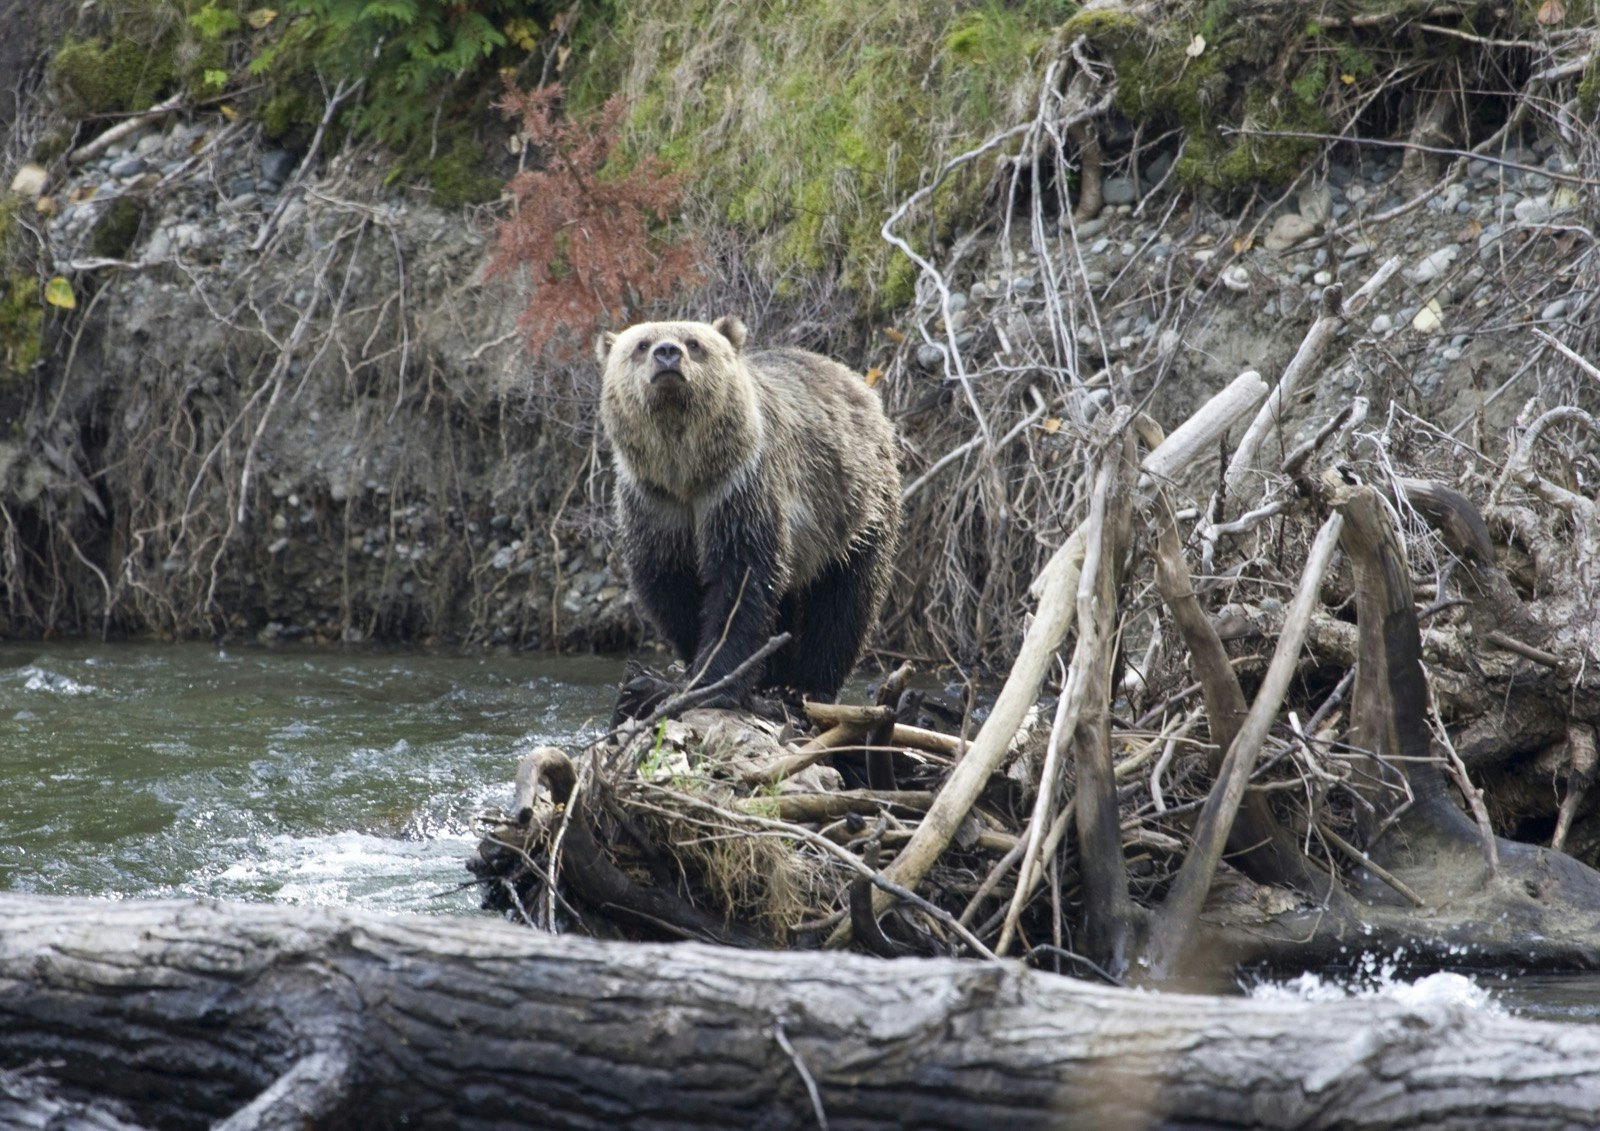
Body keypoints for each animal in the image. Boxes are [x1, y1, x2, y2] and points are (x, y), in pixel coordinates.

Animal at [601, 318, 902, 707]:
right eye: (641, 344)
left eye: (694, 343)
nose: (667, 353)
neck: (685, 472)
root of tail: (857, 380)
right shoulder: (655, 505)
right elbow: (670, 583)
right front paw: (697, 669)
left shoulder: (739, 489)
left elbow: (741, 580)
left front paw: (714, 683)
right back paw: (774, 677)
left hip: (854, 508)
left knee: (846, 598)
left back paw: (809, 683)